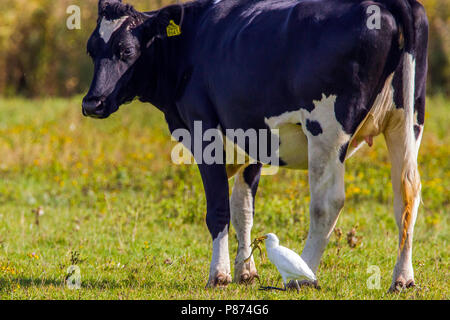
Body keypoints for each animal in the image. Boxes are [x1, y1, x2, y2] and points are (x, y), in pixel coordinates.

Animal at [82, 0, 428, 292]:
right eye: (91, 50)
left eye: (126, 50)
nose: (91, 102)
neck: (190, 43)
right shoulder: (251, 137)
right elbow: (243, 209)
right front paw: (245, 272)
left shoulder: (204, 131)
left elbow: (219, 209)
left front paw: (219, 275)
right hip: (406, 122)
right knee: (406, 196)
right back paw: (402, 279)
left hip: (327, 131)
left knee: (327, 203)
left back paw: (303, 274)